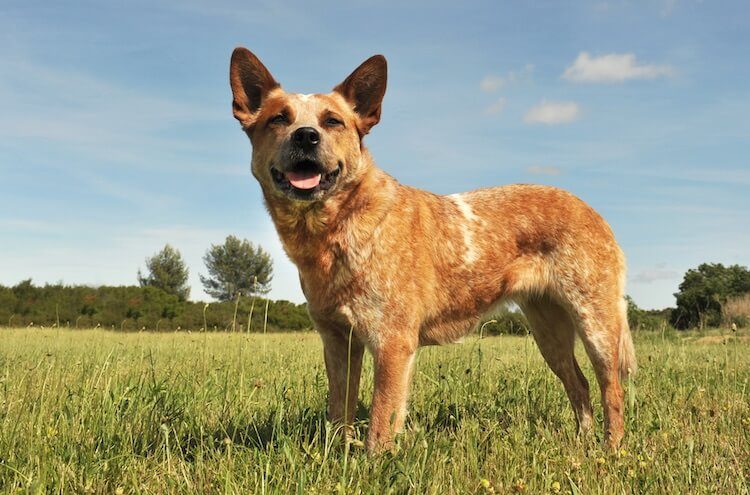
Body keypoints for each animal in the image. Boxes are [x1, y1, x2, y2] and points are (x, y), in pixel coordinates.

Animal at [228, 47, 636, 454]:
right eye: (279, 118)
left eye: (333, 122)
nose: (306, 136)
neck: (335, 228)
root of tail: (594, 212)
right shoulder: (337, 340)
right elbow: (338, 411)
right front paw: (337, 456)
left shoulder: (392, 342)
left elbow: (381, 421)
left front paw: (375, 462)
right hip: (548, 330)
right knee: (579, 384)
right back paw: (583, 444)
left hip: (596, 323)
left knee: (611, 389)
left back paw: (610, 451)